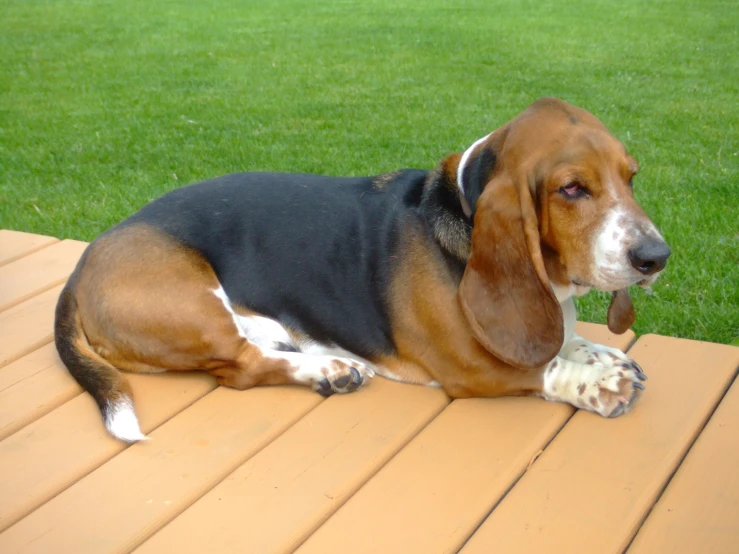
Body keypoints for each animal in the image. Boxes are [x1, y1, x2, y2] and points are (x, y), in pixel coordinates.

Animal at [55, 96, 672, 440]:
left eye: (632, 177)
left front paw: (600, 353)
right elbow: (543, 366)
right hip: (192, 307)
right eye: (572, 188)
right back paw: (329, 371)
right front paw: (597, 382)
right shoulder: (468, 367)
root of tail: (81, 269)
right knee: (240, 367)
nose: (656, 257)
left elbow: (564, 338)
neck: (463, 208)